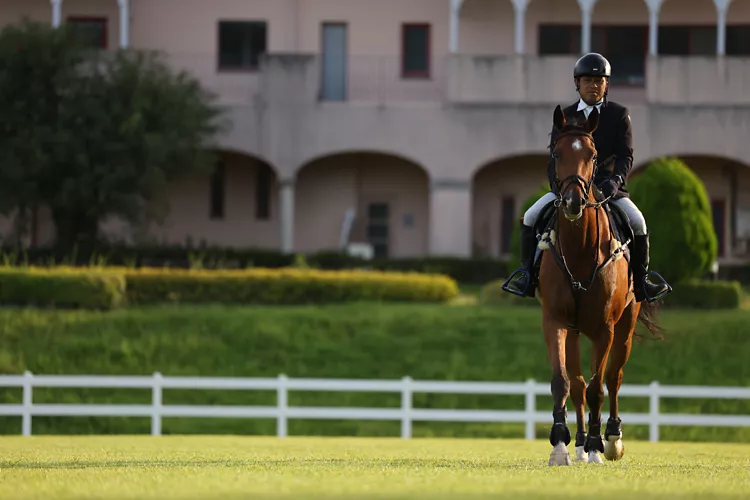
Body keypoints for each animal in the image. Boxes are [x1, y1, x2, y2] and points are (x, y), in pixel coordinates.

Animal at [536, 104, 664, 464]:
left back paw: (611, 438)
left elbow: (598, 387)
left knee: (613, 378)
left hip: (624, 327)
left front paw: (596, 445)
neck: (579, 251)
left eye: (592, 155)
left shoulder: (604, 328)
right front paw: (561, 444)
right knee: (579, 384)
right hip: (576, 330)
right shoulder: (555, 321)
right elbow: (563, 382)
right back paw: (579, 442)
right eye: (556, 152)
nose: (572, 202)